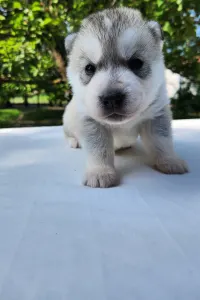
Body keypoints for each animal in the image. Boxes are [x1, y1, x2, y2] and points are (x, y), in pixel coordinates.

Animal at [63, 7, 189, 188]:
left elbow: (162, 141)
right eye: (89, 68)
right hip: (68, 118)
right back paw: (74, 141)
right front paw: (100, 171)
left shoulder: (156, 115)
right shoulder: (90, 121)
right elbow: (98, 149)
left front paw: (169, 160)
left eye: (136, 63)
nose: (112, 98)